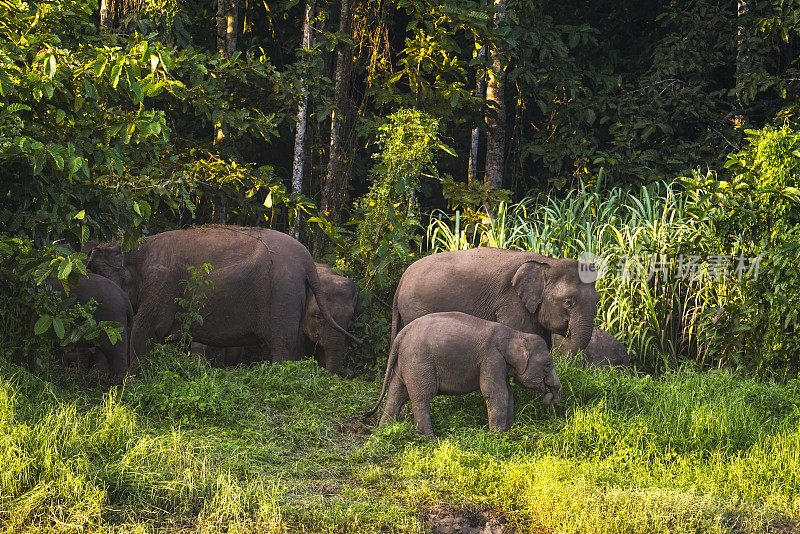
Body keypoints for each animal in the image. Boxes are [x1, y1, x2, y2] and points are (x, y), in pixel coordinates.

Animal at [87, 225, 360, 368]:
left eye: (94, 272)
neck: (133, 250)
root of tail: (308, 260)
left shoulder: (160, 284)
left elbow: (146, 330)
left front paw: (138, 376)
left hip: (282, 294)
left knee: (282, 346)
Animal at [364, 312, 564, 442]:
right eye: (548, 364)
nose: (549, 397)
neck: (514, 334)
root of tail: (401, 334)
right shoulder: (491, 358)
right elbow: (495, 393)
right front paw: (497, 437)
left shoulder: (500, 364)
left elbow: (508, 393)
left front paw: (508, 432)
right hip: (419, 362)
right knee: (421, 398)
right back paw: (431, 441)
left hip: (405, 362)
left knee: (396, 394)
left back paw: (382, 433)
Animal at [394, 250, 600, 360]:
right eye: (568, 302)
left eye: (597, 301)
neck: (547, 262)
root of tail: (402, 279)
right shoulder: (512, 301)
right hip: (415, 307)